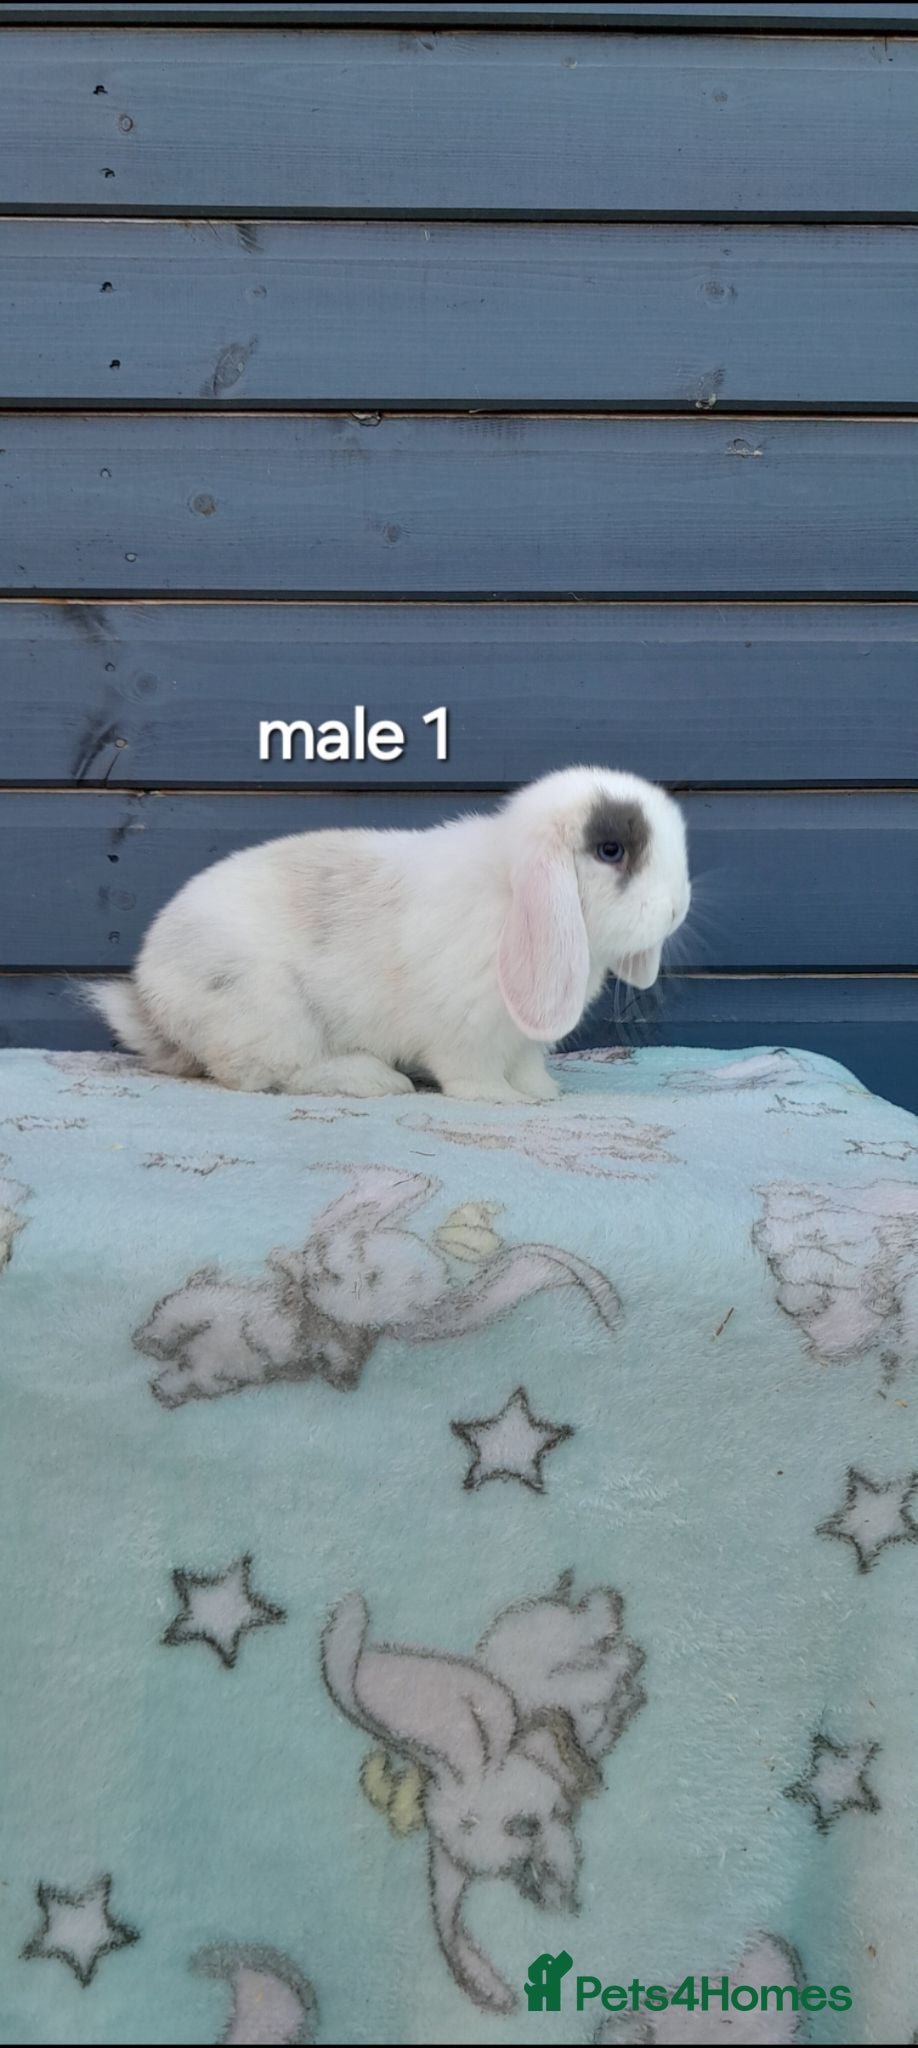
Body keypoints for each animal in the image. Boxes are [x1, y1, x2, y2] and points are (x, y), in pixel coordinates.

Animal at [84, 766, 690, 1103]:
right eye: (610, 851)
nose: (678, 908)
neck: (510, 895)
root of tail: (152, 1000)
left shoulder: (521, 1038)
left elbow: (528, 1066)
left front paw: (544, 1094)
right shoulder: (464, 1032)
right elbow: (472, 1075)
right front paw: (503, 1101)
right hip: (268, 1013)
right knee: (271, 1074)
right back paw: (375, 1081)